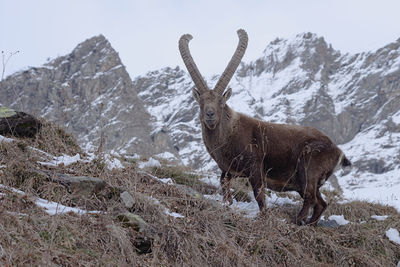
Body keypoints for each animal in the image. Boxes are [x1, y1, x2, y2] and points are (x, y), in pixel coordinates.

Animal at [178, 29, 350, 226]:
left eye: (221, 102)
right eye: (201, 102)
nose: (210, 114)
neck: (228, 133)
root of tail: (337, 151)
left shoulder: (255, 168)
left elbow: (259, 194)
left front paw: (262, 216)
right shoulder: (228, 170)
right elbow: (223, 185)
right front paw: (227, 204)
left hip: (309, 169)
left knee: (310, 197)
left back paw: (298, 220)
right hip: (305, 181)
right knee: (321, 203)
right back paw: (309, 223)